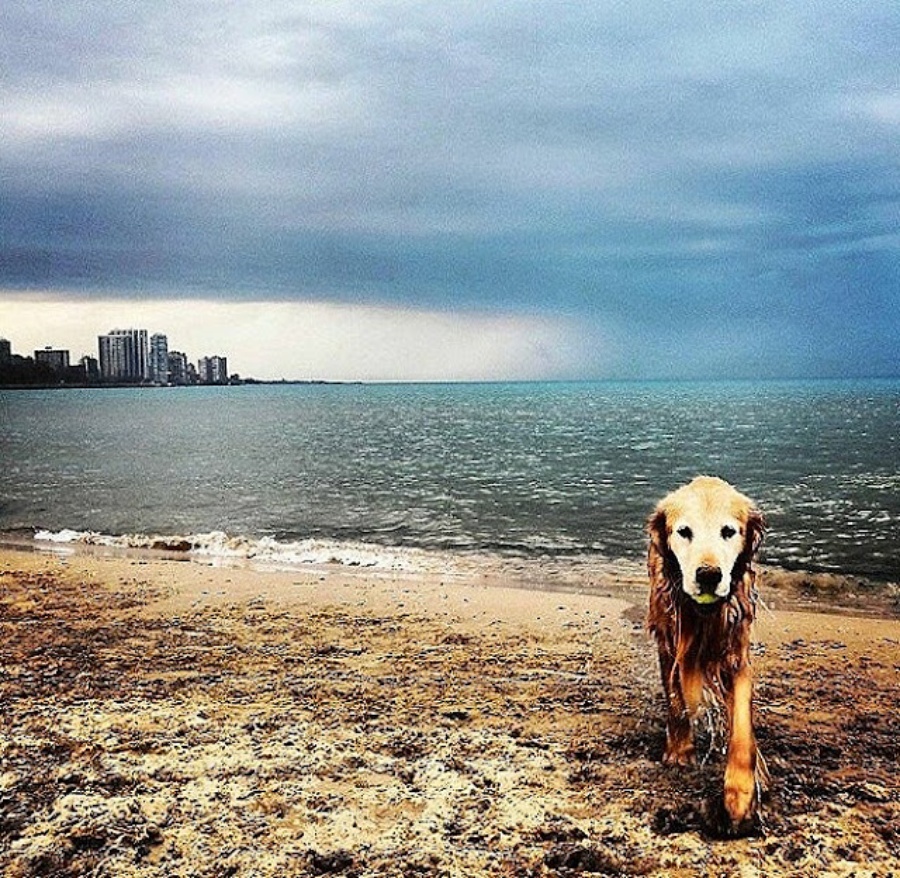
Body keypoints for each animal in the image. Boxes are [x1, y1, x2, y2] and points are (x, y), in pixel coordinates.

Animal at [648, 478, 768, 836]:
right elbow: (677, 701)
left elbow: (741, 727)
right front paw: (680, 750)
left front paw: (739, 795)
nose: (709, 575)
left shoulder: (736, 653)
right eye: (684, 531)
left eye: (728, 531)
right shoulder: (669, 643)